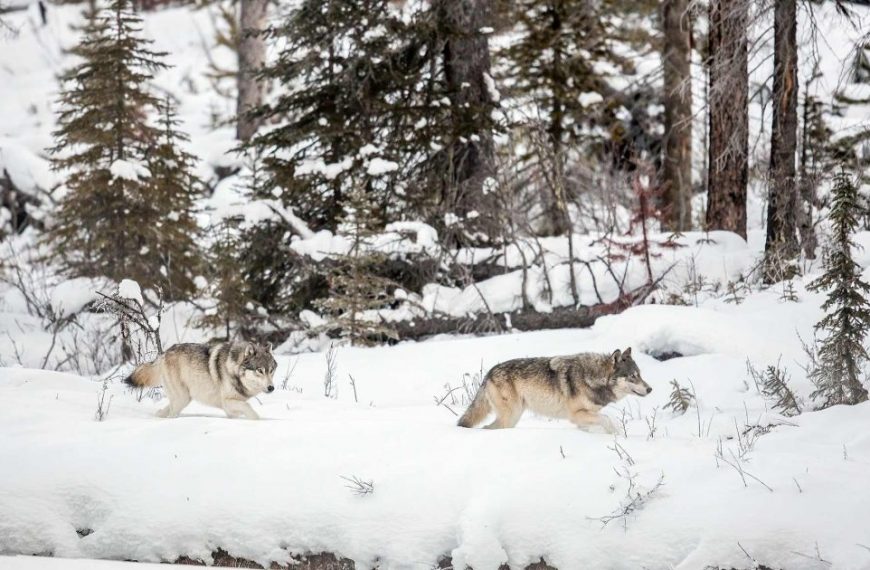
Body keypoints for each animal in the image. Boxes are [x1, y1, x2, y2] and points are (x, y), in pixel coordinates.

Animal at [125, 341, 278, 419]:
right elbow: (249, 408)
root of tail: (164, 353)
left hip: (184, 398)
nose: (271, 388)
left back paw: (159, 414)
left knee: (167, 409)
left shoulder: (230, 409)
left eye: (271, 370)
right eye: (260, 370)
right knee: (172, 413)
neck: (233, 368)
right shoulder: (228, 402)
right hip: (182, 398)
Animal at [457, 347, 651, 431]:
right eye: (632, 376)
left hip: (513, 417)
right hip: (510, 416)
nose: (650, 389)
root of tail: (489, 373)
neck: (593, 377)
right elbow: (607, 420)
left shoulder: (583, 418)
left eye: (640, 374)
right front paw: (616, 435)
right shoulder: (576, 415)